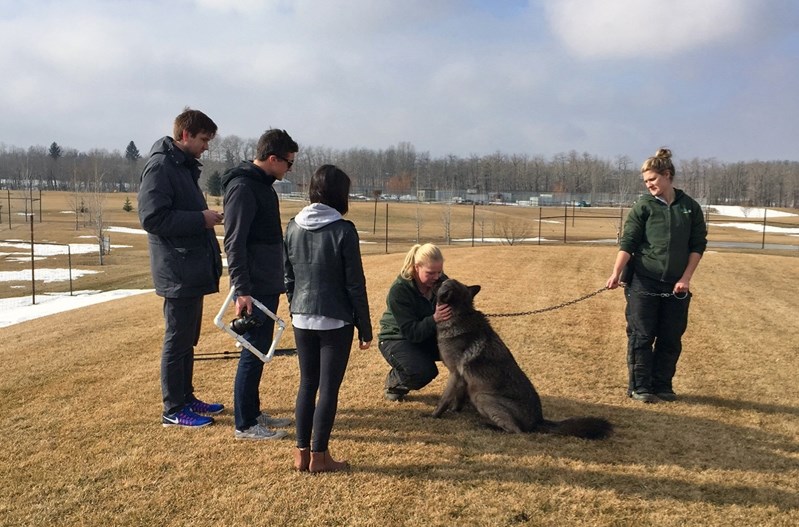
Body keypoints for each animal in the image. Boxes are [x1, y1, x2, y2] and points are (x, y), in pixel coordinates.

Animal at [432, 280, 612, 442]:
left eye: (444, 284)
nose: (437, 281)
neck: (460, 313)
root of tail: (538, 421)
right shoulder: (462, 380)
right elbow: (457, 400)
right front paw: (455, 411)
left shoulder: (455, 375)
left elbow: (444, 400)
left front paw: (433, 416)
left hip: (483, 397)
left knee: (518, 431)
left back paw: (490, 426)